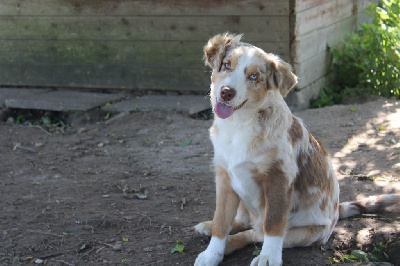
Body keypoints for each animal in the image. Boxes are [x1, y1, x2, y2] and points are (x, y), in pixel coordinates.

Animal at [194, 33, 400, 266]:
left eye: (254, 76)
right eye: (227, 65)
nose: (226, 92)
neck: (240, 125)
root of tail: (338, 211)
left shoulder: (279, 178)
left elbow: (273, 224)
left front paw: (268, 257)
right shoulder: (225, 177)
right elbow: (221, 220)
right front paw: (211, 254)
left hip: (307, 233)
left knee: (257, 233)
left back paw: (237, 244)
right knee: (241, 222)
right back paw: (208, 227)